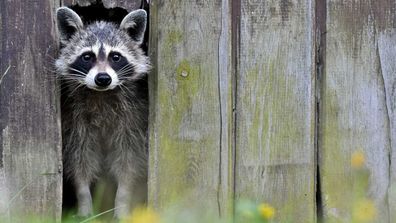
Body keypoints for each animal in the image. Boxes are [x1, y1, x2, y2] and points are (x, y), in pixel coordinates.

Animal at [55, 6, 149, 218]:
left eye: (115, 57)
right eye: (87, 56)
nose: (103, 78)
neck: (101, 94)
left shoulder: (133, 120)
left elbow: (128, 162)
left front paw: (122, 200)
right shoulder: (75, 122)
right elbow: (80, 160)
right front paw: (84, 200)